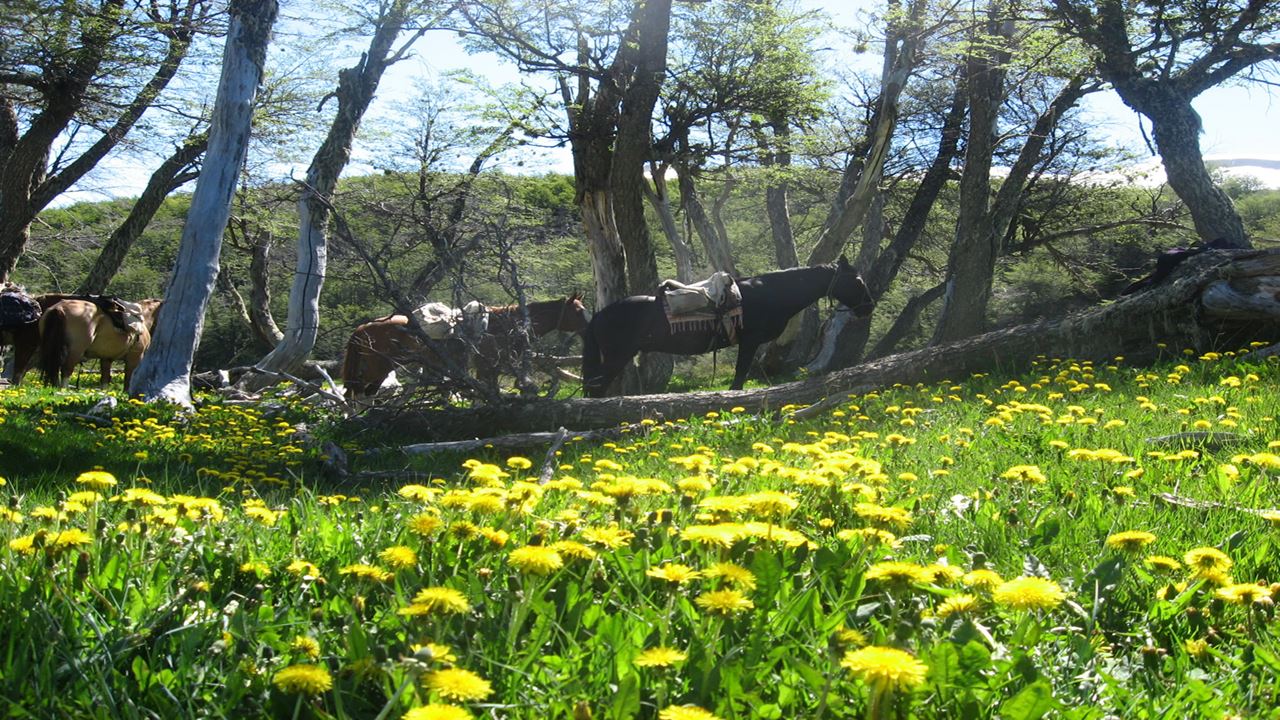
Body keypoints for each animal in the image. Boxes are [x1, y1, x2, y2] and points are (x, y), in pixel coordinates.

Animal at [341, 295, 590, 400]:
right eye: (577, 311)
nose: (590, 326)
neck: (505, 325)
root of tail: (363, 327)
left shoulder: (490, 369)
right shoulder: (486, 368)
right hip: (378, 367)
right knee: (359, 391)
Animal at [581, 256, 875, 397]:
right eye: (857, 280)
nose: (869, 307)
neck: (771, 294)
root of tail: (598, 316)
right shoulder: (749, 342)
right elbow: (739, 377)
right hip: (617, 356)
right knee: (596, 389)